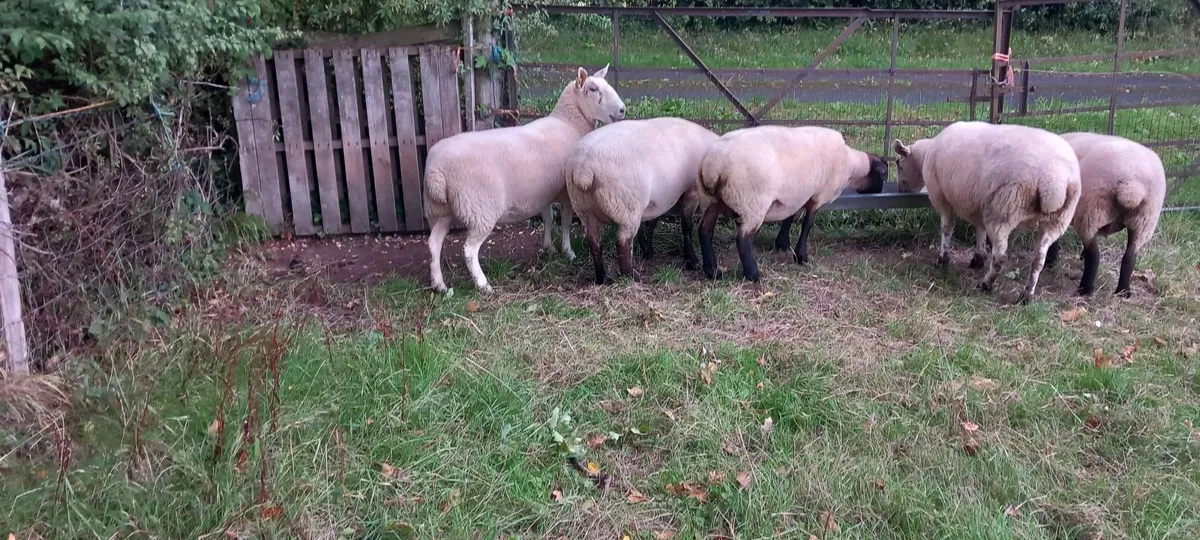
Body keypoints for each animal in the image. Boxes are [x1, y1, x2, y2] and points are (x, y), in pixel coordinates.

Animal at [424, 65, 626, 293]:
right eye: (593, 89)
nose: (622, 110)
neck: (569, 124)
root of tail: (436, 173)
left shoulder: (545, 191)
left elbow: (548, 218)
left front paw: (548, 248)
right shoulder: (566, 191)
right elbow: (565, 221)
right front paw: (568, 252)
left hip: (439, 210)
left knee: (434, 244)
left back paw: (439, 285)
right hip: (480, 209)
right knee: (468, 250)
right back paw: (483, 285)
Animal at [565, 117, 719, 283]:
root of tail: (583, 171)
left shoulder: (660, 198)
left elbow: (652, 223)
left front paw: (648, 250)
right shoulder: (692, 190)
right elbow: (687, 226)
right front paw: (692, 261)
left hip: (584, 209)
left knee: (594, 241)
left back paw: (603, 277)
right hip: (627, 208)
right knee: (623, 242)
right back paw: (632, 276)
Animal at [697, 126, 887, 281]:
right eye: (883, 175)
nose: (880, 191)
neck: (850, 165)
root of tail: (714, 165)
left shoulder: (796, 195)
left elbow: (789, 217)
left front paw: (783, 243)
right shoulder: (818, 196)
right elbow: (807, 225)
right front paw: (801, 257)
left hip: (709, 201)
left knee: (705, 231)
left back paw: (713, 271)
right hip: (752, 203)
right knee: (742, 239)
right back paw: (753, 274)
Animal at [892, 121, 1081, 302]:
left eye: (898, 164)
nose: (900, 189)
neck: (925, 155)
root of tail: (1056, 180)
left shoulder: (941, 196)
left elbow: (947, 228)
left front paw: (943, 258)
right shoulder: (978, 203)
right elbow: (980, 230)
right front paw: (978, 257)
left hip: (1004, 210)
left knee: (1000, 257)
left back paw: (986, 284)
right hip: (1057, 221)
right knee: (1038, 261)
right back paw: (1026, 296)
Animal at [1042, 132, 1166, 297]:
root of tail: (1132, 184)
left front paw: (1050, 262)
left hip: (1090, 212)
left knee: (1094, 256)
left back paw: (1085, 289)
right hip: (1144, 221)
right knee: (1129, 257)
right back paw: (1123, 291)